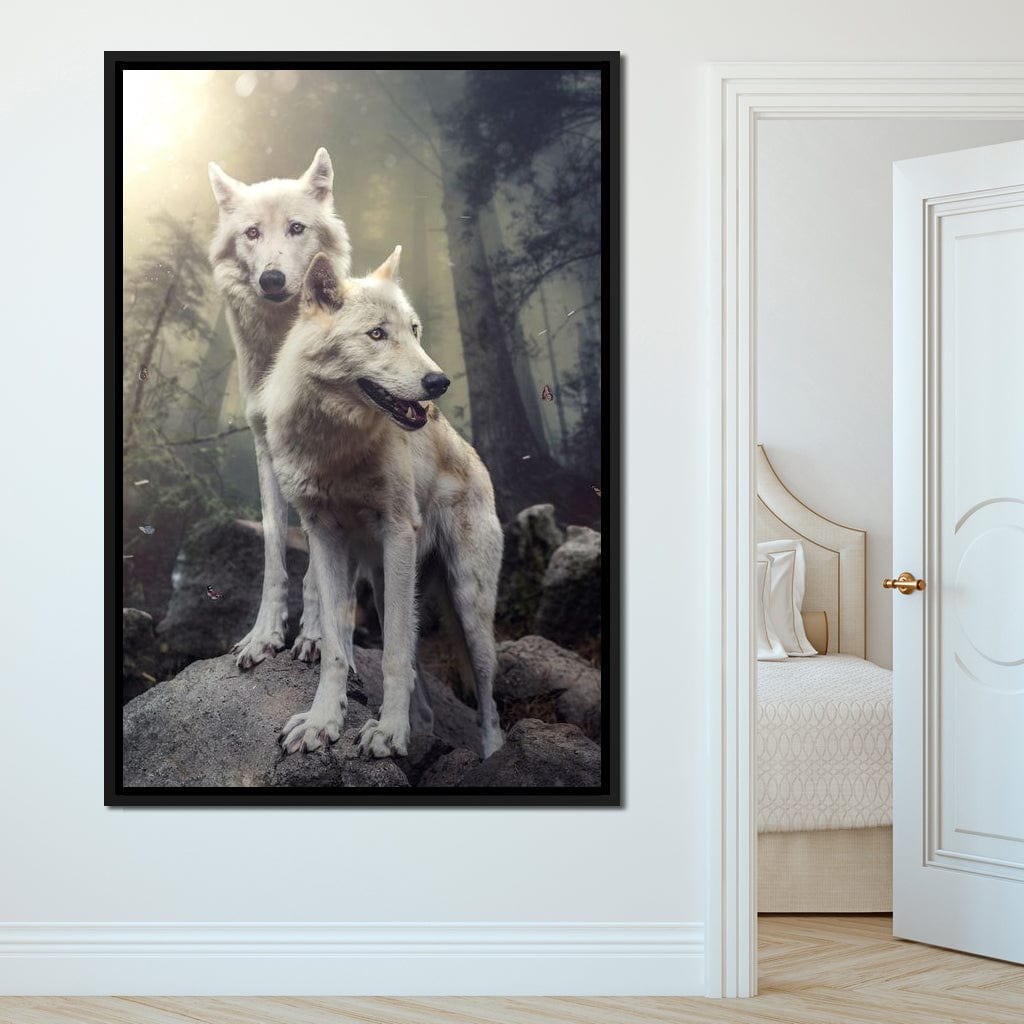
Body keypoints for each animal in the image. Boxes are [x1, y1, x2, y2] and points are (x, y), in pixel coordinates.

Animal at [208, 149, 351, 670]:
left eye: (296, 228)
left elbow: (318, 566)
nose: (272, 278)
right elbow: (273, 554)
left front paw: (315, 636)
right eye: (252, 233)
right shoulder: (266, 450)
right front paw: (263, 636)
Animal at [257, 247, 505, 759]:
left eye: (414, 330)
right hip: (388, 582)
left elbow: (391, 656)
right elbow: (336, 646)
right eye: (376, 334)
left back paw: (493, 755)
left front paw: (389, 733)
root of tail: (474, 457)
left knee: (487, 698)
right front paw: (323, 722)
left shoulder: (397, 533)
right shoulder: (324, 538)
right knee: (418, 677)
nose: (439, 382)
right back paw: (421, 727)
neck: (336, 446)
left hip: (468, 607)